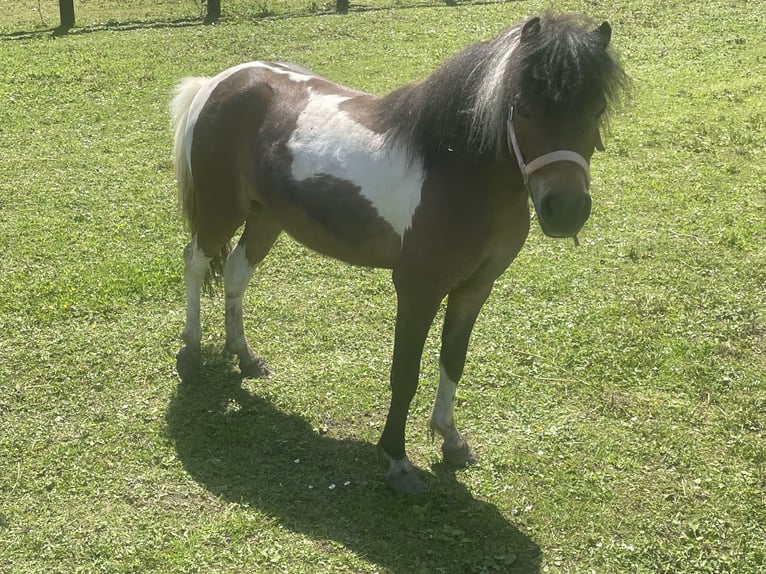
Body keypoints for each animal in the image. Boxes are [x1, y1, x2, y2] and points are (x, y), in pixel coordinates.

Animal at [170, 12, 628, 493]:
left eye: (597, 109)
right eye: (521, 107)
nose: (566, 210)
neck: (454, 167)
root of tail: (218, 82)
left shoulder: (475, 288)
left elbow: (453, 360)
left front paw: (451, 440)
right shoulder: (417, 289)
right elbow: (404, 373)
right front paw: (397, 460)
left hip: (265, 218)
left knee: (236, 273)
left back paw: (245, 356)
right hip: (221, 211)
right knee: (195, 262)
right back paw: (191, 351)